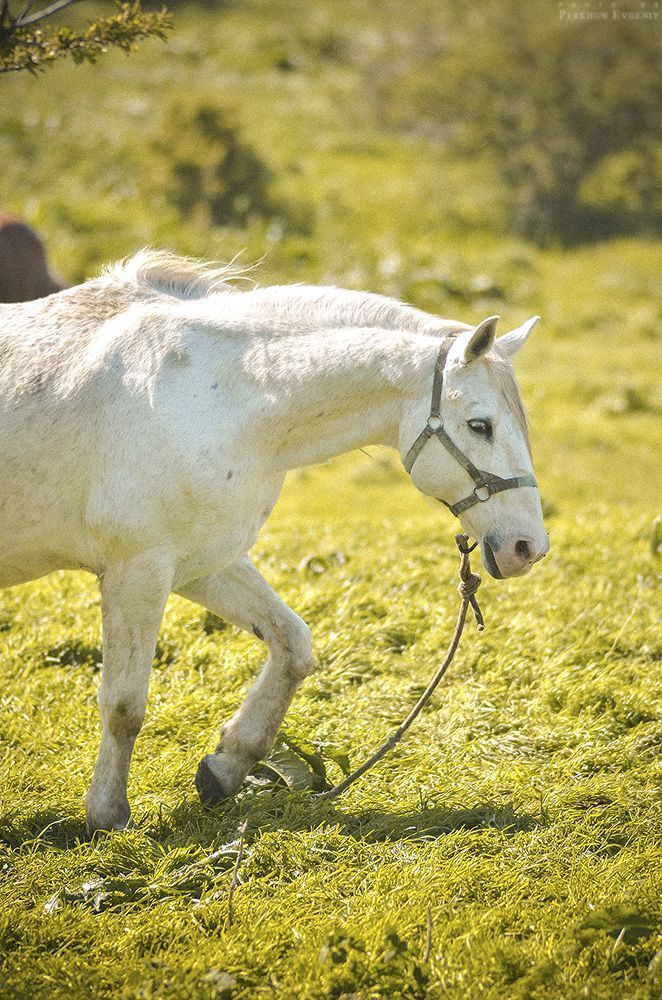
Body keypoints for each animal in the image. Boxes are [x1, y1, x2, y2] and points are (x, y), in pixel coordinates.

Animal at [0, 250, 549, 832]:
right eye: (480, 425)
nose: (528, 549)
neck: (212, 398)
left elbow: (293, 646)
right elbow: (125, 704)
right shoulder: (138, 570)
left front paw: (225, 768)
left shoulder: (203, 563)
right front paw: (108, 815)